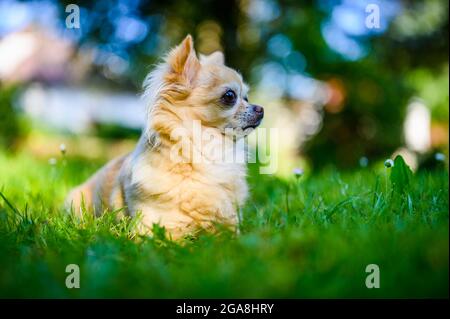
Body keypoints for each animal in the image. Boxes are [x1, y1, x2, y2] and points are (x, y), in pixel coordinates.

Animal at [66, 35, 264, 240]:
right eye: (230, 96)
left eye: (247, 98)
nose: (261, 109)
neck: (208, 152)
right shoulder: (156, 231)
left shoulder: (230, 226)